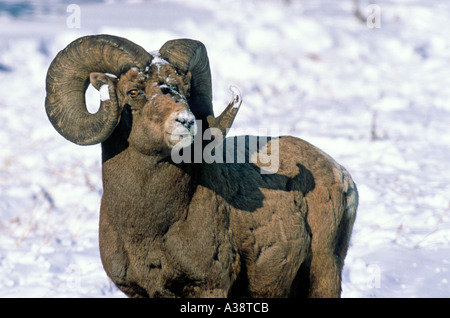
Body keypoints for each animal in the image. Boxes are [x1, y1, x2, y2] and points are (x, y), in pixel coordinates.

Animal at [45, 35, 358, 298]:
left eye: (184, 90)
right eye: (133, 92)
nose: (185, 121)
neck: (148, 228)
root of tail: (341, 175)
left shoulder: (209, 286)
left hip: (324, 272)